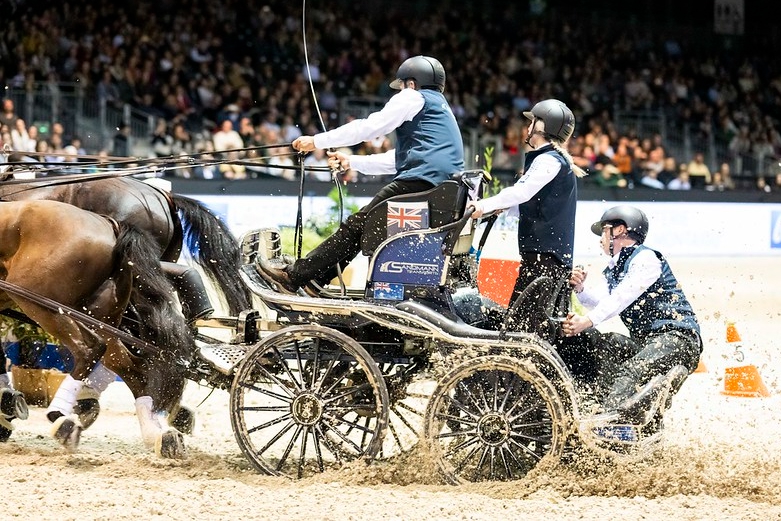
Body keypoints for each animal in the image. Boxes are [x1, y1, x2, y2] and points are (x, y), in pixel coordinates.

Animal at [0, 199, 194, 456]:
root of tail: (111, 225)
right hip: (101, 319)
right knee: (132, 368)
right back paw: (159, 435)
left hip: (38, 301)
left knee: (90, 349)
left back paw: (62, 420)